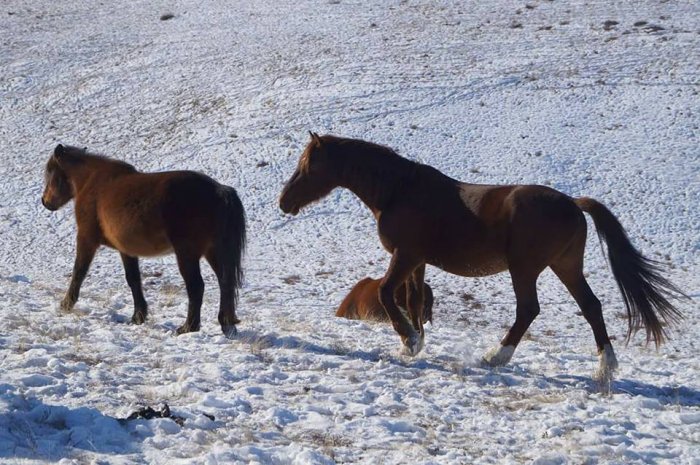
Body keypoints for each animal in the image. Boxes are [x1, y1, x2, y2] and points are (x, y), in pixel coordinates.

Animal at [42, 143, 246, 336]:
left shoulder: (86, 239)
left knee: (196, 287)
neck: (92, 183)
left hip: (187, 254)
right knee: (225, 282)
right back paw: (226, 324)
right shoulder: (126, 250)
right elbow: (133, 279)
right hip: (213, 252)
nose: (45, 202)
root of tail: (219, 190)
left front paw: (66, 304)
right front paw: (138, 316)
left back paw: (188, 327)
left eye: (50, 171)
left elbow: (79, 272)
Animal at [278, 131, 684, 376]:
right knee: (591, 306)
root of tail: (573, 203)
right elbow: (412, 299)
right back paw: (606, 367)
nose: (284, 201)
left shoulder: (405, 255)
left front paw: (408, 340)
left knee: (529, 310)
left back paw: (496, 356)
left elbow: (387, 293)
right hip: (565, 266)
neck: (398, 191)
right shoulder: (418, 262)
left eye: (308, 165)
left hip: (525, 269)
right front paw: (416, 341)